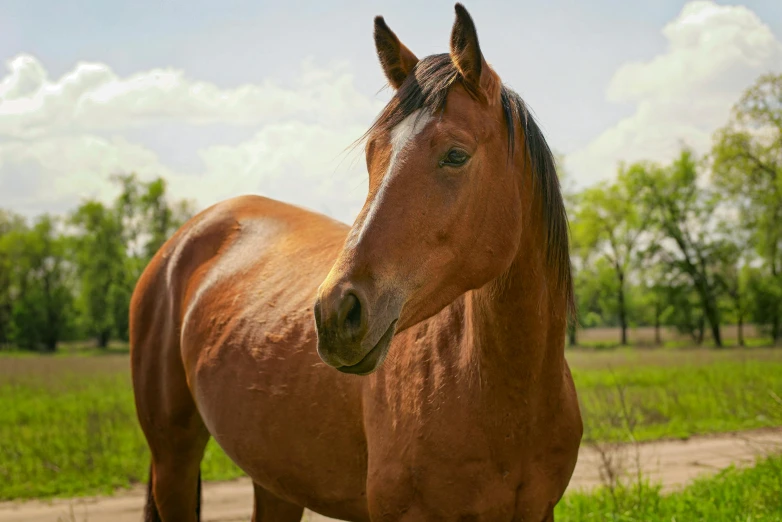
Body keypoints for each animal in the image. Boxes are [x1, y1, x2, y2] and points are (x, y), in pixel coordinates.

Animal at [130, 5, 580, 520]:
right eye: (371, 154)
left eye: (456, 154)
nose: (334, 314)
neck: (509, 396)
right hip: (173, 459)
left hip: (276, 479)